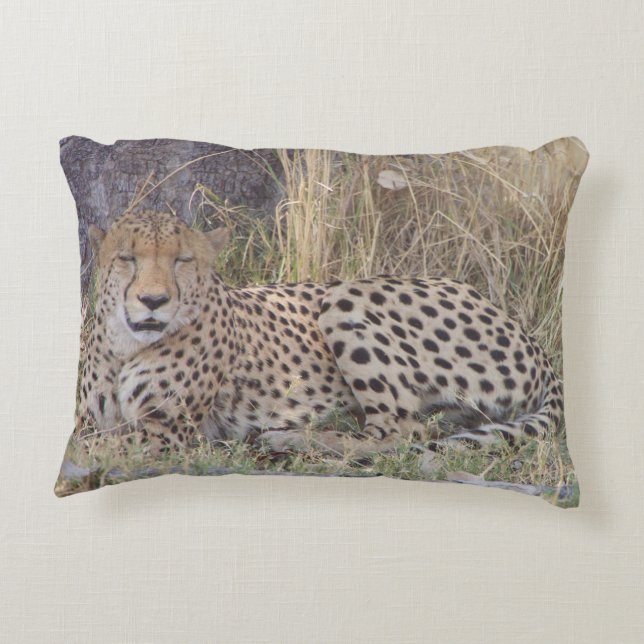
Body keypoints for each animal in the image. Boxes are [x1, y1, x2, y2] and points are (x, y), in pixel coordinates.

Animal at [74, 209, 563, 462]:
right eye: (127, 258)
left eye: (183, 261)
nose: (153, 301)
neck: (125, 347)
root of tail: (530, 338)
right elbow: (91, 437)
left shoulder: (169, 431)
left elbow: (99, 446)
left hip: (348, 294)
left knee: (397, 433)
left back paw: (286, 438)